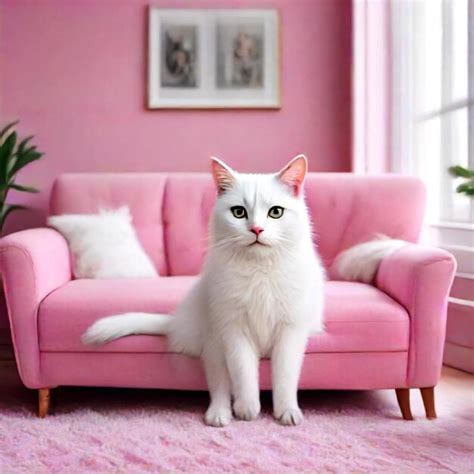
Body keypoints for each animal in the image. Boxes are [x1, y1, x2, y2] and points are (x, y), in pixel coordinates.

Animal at [82, 155, 326, 426]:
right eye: (239, 212)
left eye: (276, 212)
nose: (256, 230)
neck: (259, 270)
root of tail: (177, 322)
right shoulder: (234, 330)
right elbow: (243, 374)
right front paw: (248, 409)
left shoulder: (290, 331)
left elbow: (284, 376)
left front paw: (287, 412)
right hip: (214, 345)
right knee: (220, 385)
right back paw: (219, 415)